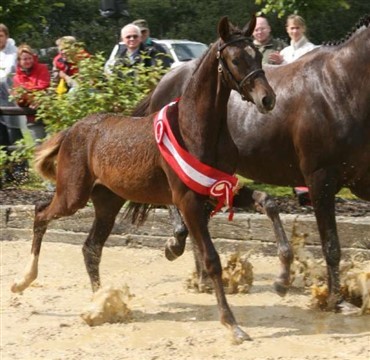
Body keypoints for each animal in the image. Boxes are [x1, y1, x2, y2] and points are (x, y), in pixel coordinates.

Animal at [10, 16, 278, 344]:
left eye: (259, 55)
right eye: (236, 59)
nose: (267, 99)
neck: (197, 129)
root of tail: (73, 129)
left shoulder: (220, 186)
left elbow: (267, 201)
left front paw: (285, 272)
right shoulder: (187, 200)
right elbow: (211, 258)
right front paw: (233, 325)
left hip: (107, 203)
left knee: (90, 248)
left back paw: (99, 302)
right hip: (73, 195)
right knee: (40, 213)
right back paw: (23, 280)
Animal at [134, 14, 370, 310]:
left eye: (258, 55)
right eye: (236, 60)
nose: (266, 99)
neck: (341, 86)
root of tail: (163, 81)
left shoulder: (362, 181)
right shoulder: (320, 180)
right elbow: (331, 246)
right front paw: (335, 300)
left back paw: (201, 277)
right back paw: (178, 244)